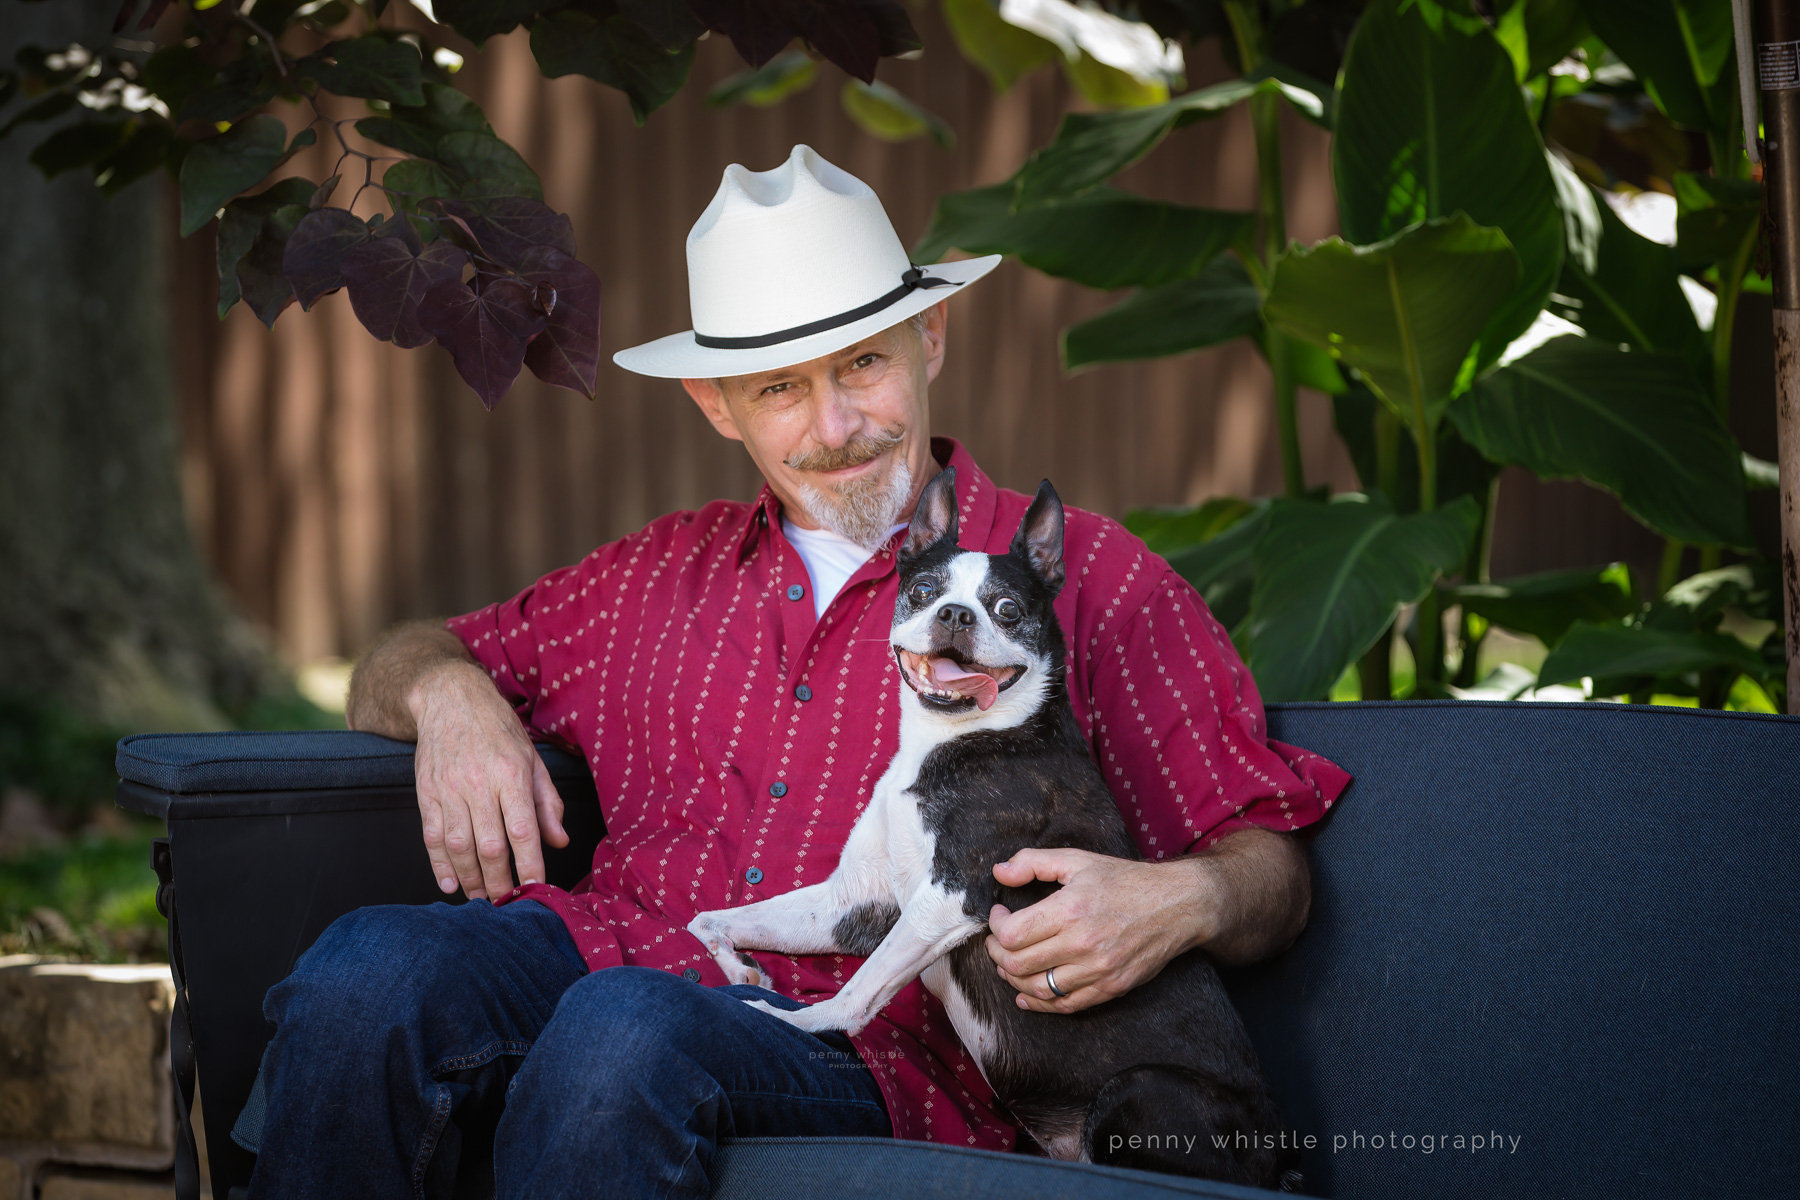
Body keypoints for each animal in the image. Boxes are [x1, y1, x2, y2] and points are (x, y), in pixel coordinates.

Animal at [687, 467, 1296, 1180]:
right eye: (923, 591)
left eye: (1006, 609)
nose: (955, 613)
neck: (957, 739)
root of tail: (1281, 1155)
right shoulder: (857, 903)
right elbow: (712, 920)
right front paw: (742, 970)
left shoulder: (950, 898)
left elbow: (859, 990)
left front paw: (804, 1024)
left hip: (1139, 1091)